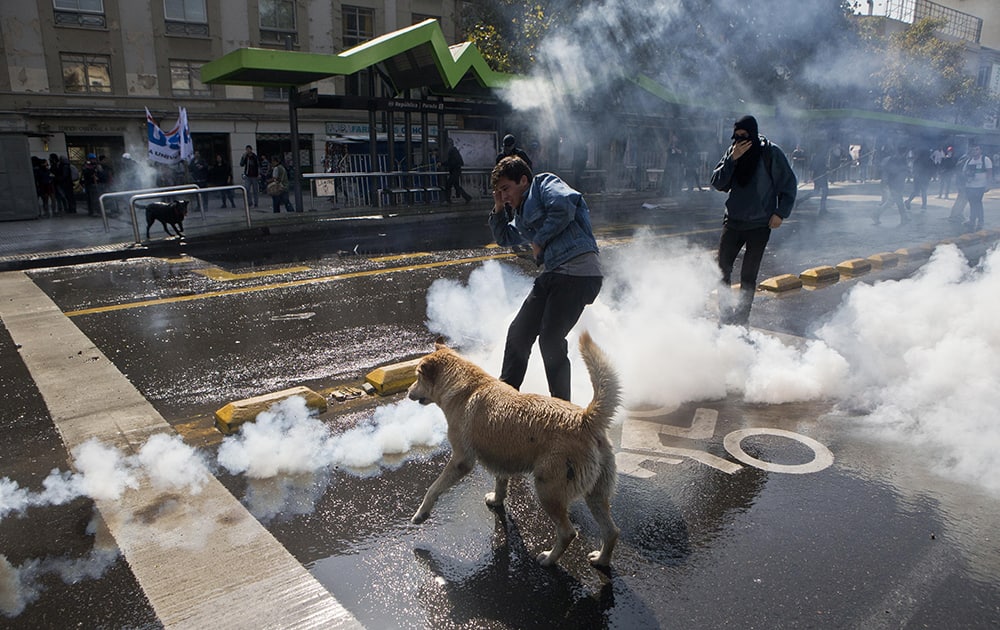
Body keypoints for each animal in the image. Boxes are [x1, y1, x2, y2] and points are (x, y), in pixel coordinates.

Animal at [406, 334, 616, 572]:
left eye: (417, 377)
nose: (408, 392)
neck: (465, 388)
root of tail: (585, 420)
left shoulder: (461, 460)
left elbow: (433, 488)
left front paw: (421, 514)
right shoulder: (501, 457)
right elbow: (501, 482)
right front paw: (497, 500)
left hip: (548, 490)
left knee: (568, 532)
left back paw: (549, 559)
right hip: (596, 494)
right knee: (612, 532)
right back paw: (601, 560)